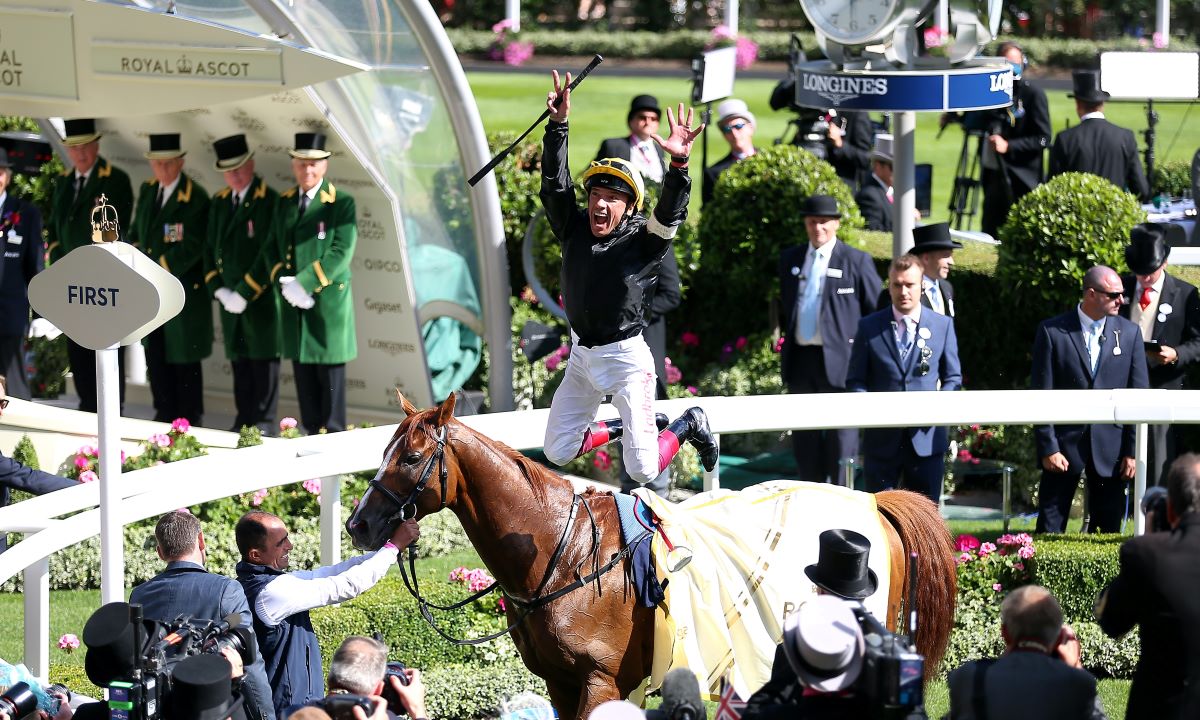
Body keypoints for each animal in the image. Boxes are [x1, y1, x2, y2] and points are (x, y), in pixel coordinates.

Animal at [348, 393, 955, 720]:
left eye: (411, 457)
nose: (359, 524)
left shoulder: (601, 681)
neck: (563, 553)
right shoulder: (560, 682)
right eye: (384, 450)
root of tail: (876, 501)